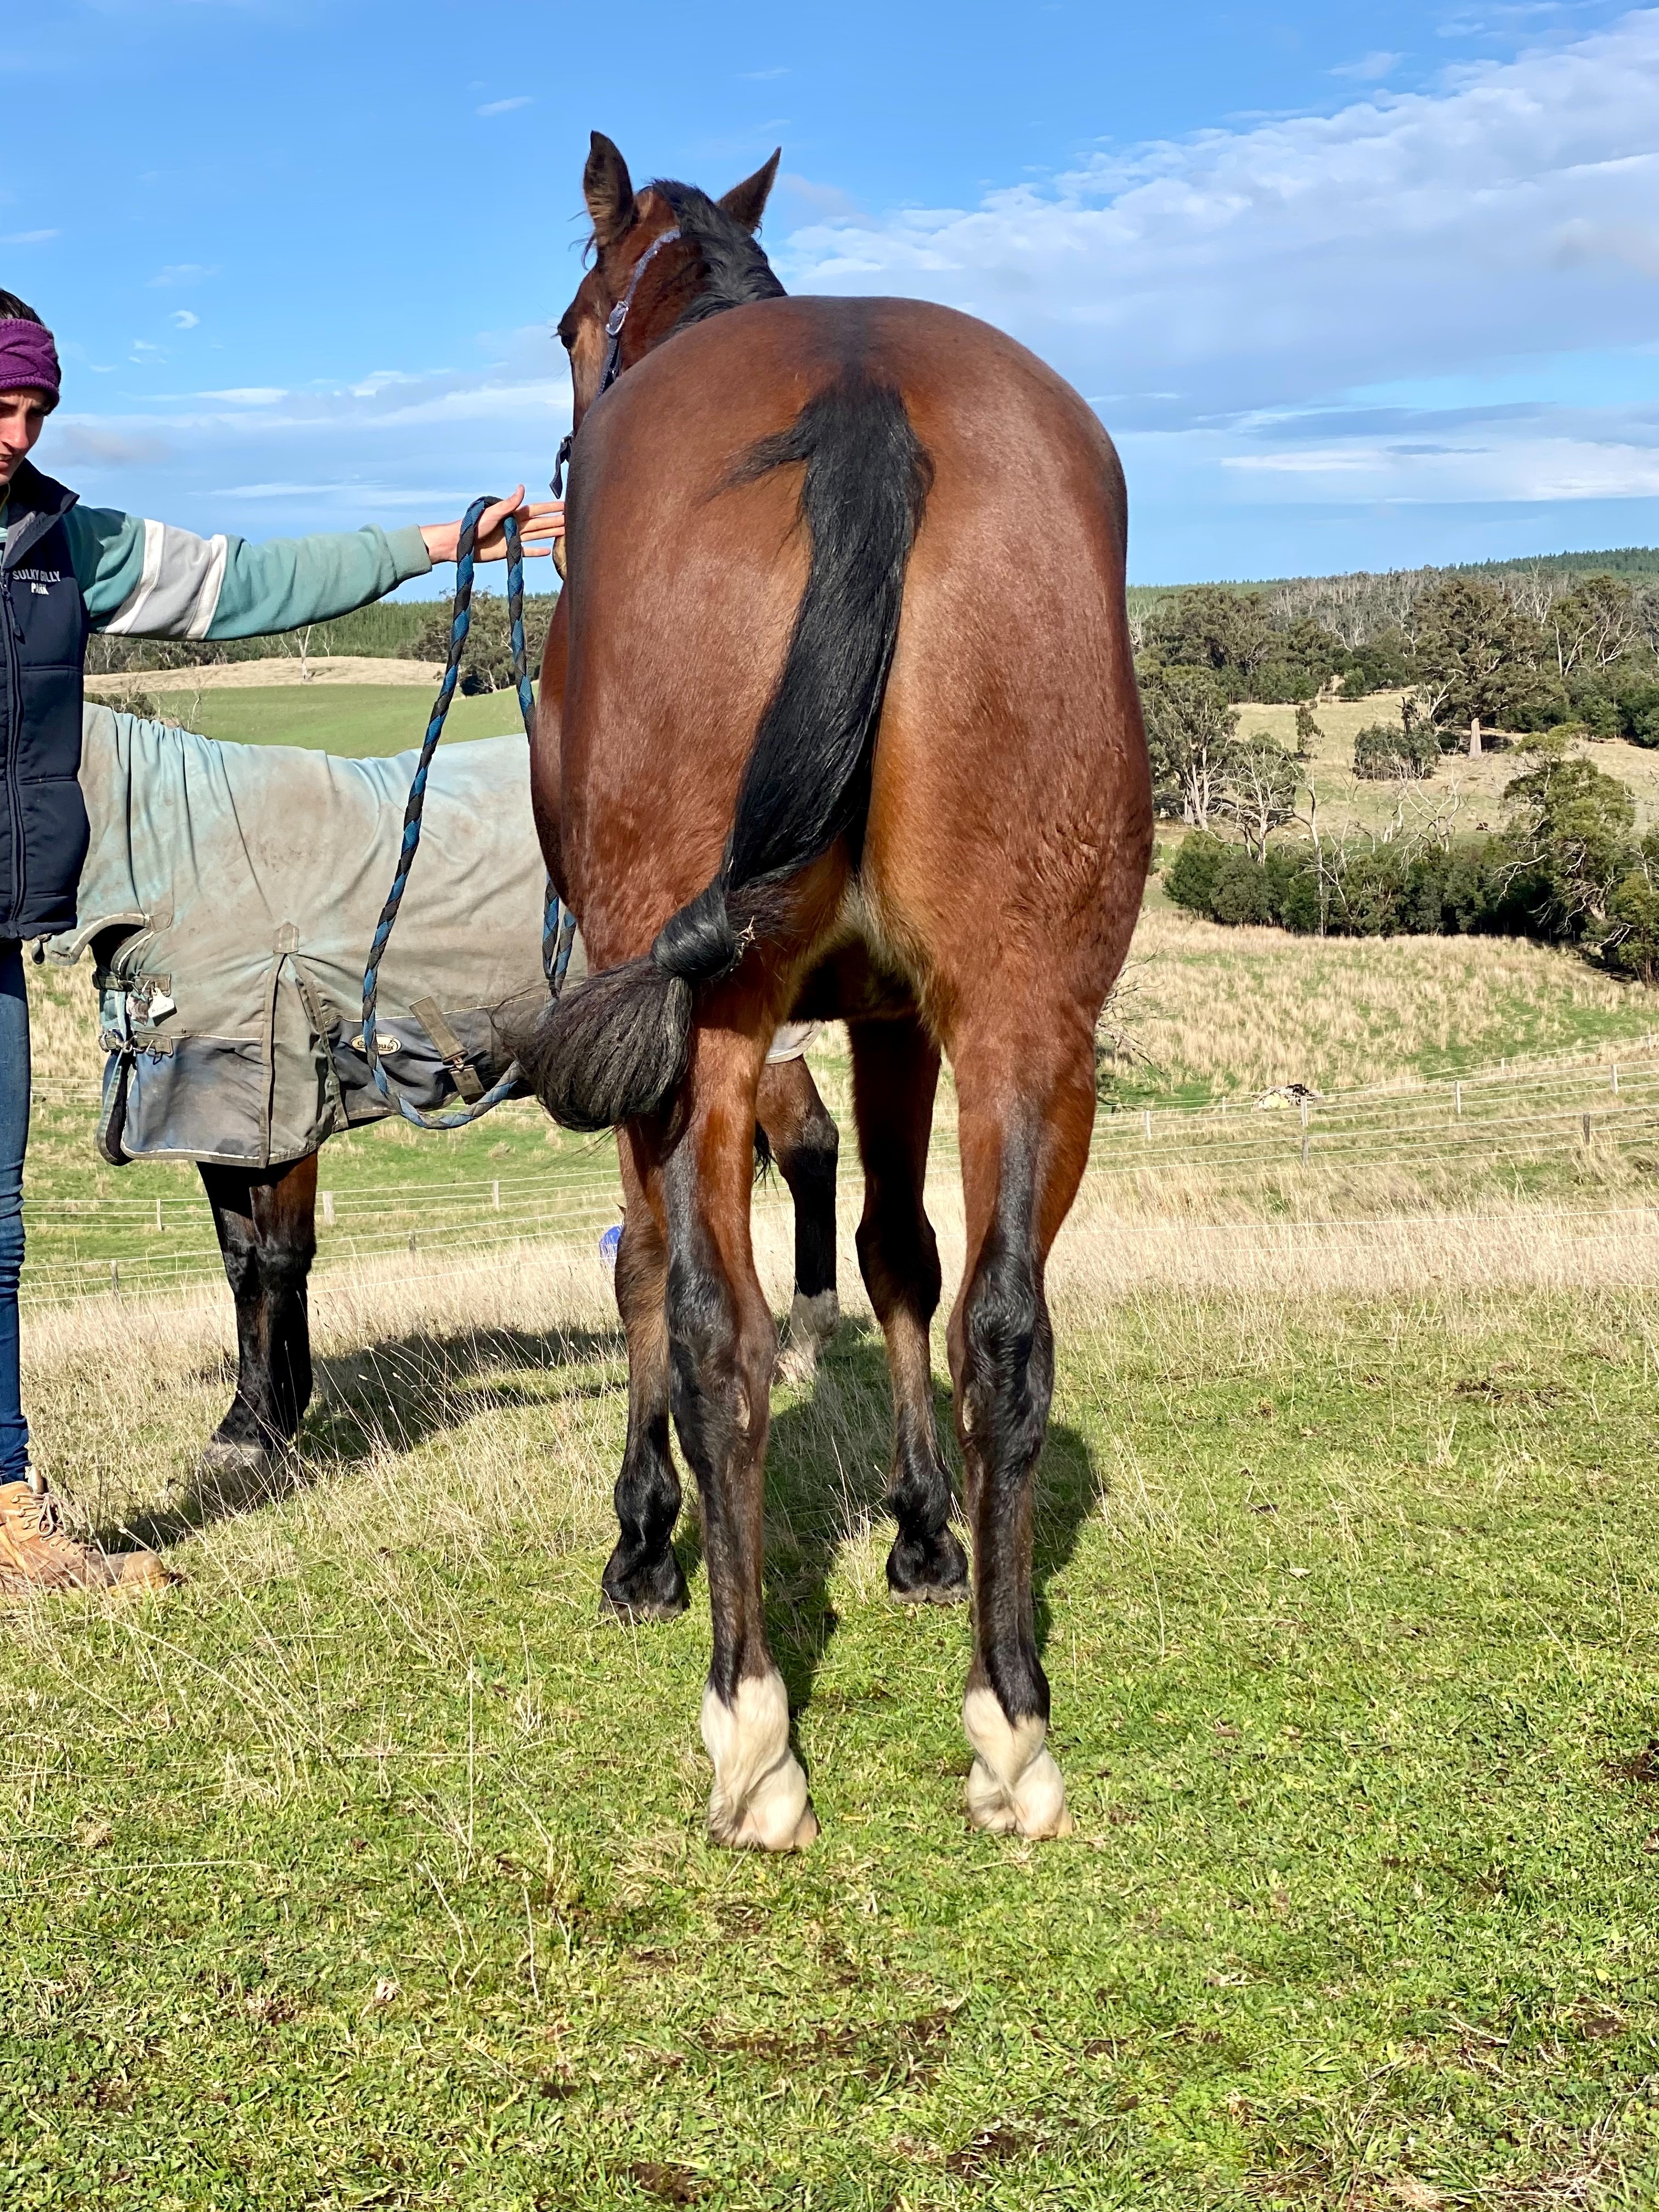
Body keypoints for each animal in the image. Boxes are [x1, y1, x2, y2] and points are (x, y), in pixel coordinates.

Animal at [521, 134, 1151, 1850]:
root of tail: (863, 395)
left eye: (573, 321)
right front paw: (925, 1532)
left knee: (718, 1333)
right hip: (1027, 1015)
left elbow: (644, 1281)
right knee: (1005, 1325)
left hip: (712, 1031)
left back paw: (751, 1726)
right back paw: (1011, 1719)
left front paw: (640, 1540)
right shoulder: (889, 1015)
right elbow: (900, 1261)